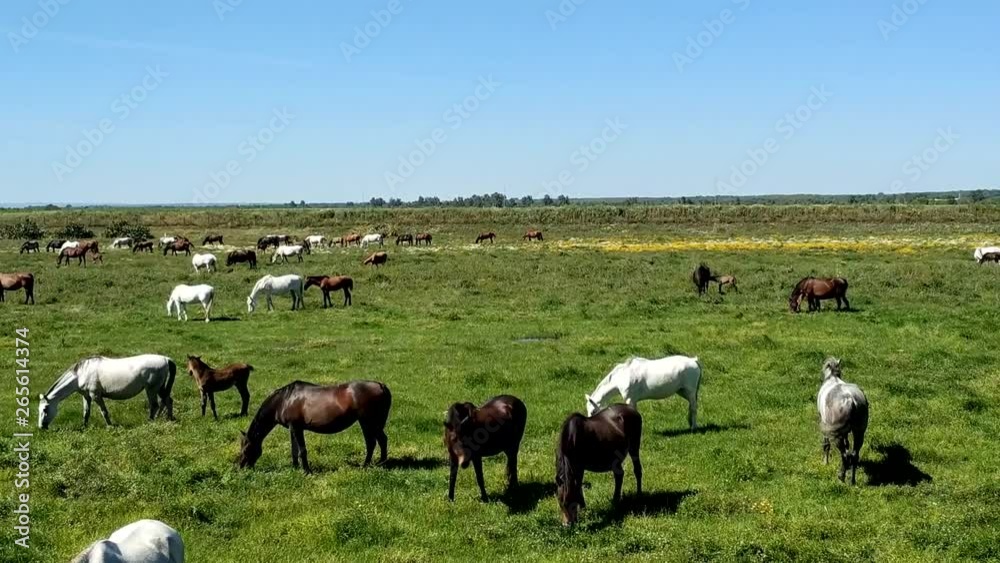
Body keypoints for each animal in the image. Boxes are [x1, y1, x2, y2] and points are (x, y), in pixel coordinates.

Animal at [38, 354, 176, 429]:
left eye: (45, 409)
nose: (41, 427)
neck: (81, 374)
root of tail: (165, 359)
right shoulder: (86, 397)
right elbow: (86, 412)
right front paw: (84, 427)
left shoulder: (96, 396)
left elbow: (104, 412)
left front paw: (110, 426)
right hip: (160, 388)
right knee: (167, 400)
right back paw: (169, 419)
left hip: (151, 389)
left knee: (155, 405)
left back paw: (150, 422)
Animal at [237, 380, 392, 473]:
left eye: (245, 449)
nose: (240, 467)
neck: (284, 401)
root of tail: (380, 385)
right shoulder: (293, 429)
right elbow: (294, 450)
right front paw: (295, 468)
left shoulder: (297, 428)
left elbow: (302, 450)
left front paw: (307, 471)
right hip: (370, 423)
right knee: (380, 440)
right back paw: (381, 462)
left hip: (368, 422)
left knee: (373, 442)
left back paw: (368, 465)